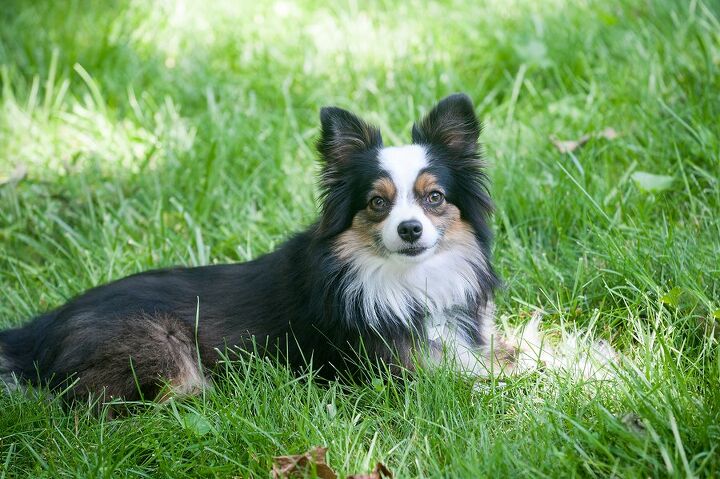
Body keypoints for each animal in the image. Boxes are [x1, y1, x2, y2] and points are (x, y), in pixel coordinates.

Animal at [1, 93, 612, 402]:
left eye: (434, 198)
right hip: (162, 352)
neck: (404, 279)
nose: (410, 231)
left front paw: (597, 359)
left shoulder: (465, 338)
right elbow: (505, 379)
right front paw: (586, 384)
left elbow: (525, 350)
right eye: (377, 203)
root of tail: (39, 328)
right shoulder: (402, 373)